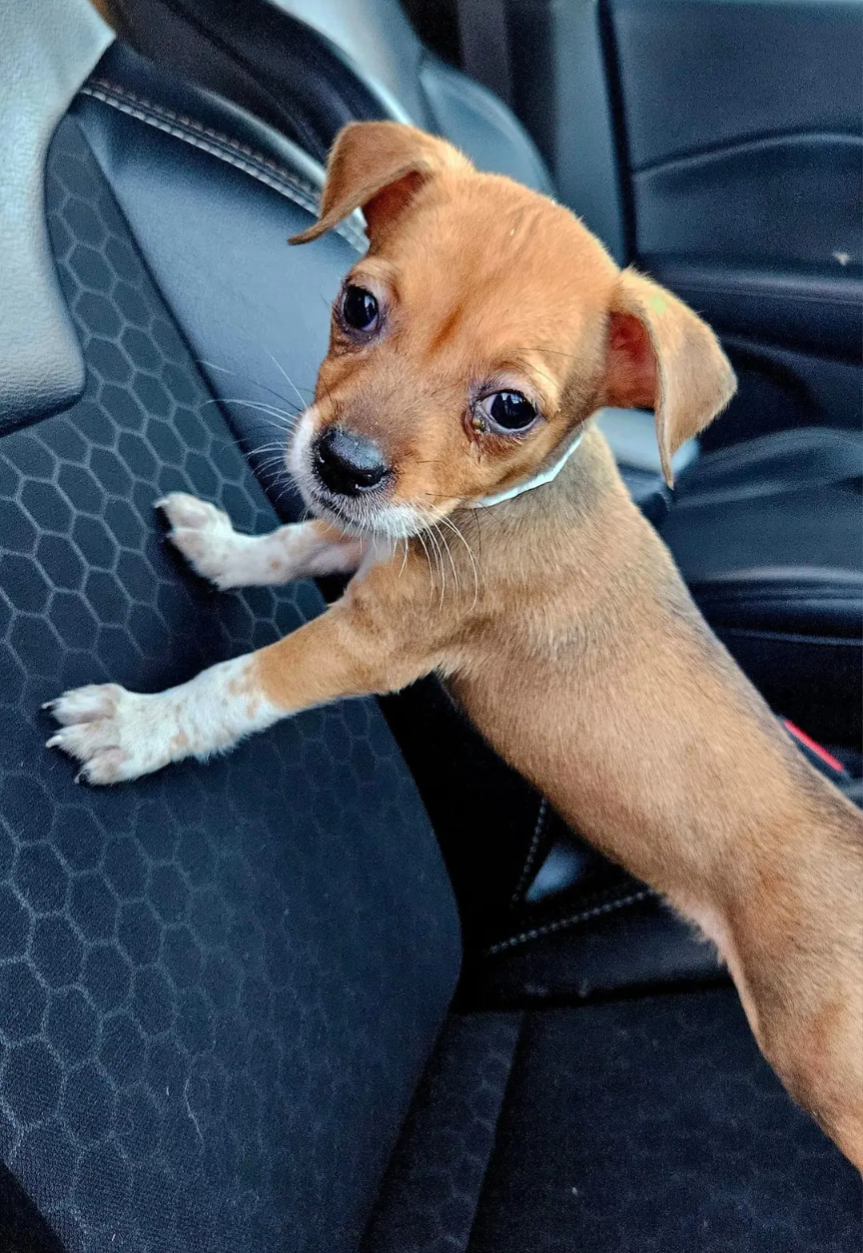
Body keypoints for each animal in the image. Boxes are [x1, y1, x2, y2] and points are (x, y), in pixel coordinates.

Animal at [50, 122, 861, 1167]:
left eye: (511, 407)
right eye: (357, 305)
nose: (340, 464)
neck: (505, 499)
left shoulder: (373, 640)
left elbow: (234, 682)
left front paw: (137, 726)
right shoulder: (371, 539)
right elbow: (290, 542)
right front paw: (223, 549)